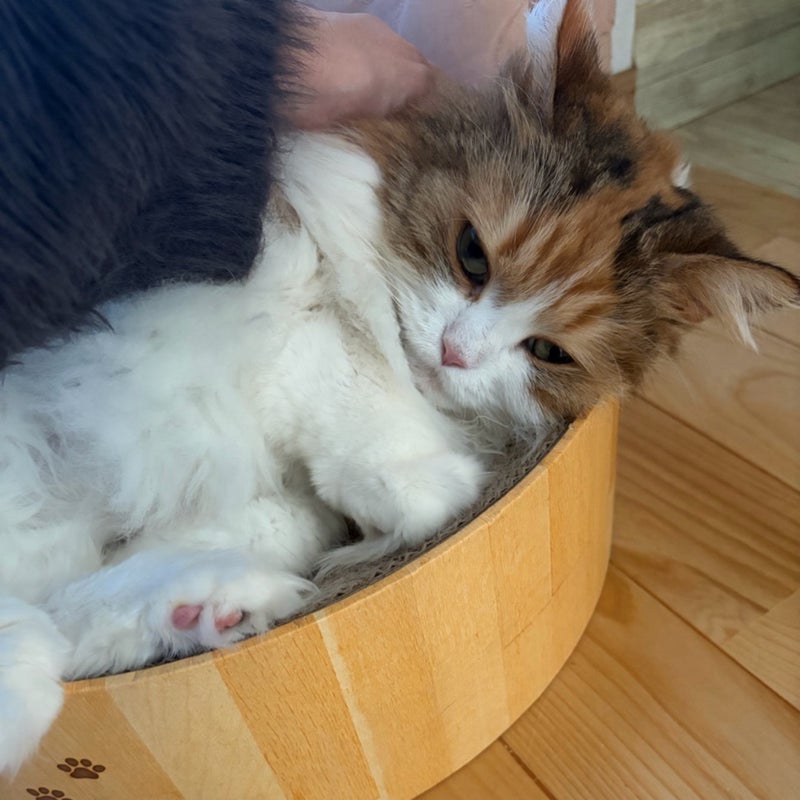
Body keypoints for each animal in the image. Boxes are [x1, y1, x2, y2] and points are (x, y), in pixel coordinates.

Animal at [1, 0, 797, 775]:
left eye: (547, 352)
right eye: (472, 255)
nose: (453, 353)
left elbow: (301, 513)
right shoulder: (266, 296)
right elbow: (352, 390)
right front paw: (404, 472)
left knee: (53, 627)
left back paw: (206, 606)